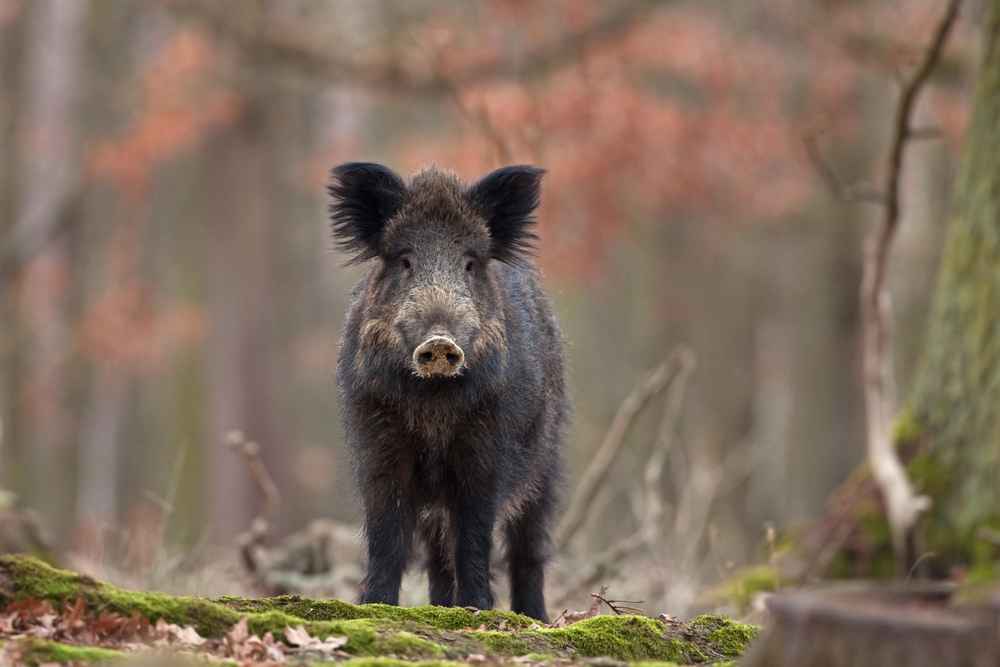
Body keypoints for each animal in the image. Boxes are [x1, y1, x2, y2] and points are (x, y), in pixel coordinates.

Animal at [330, 163, 567, 621]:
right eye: (405, 260)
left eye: (469, 264)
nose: (440, 340)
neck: (434, 408)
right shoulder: (379, 446)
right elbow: (387, 537)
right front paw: (375, 607)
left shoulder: (486, 453)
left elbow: (474, 537)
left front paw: (477, 612)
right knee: (437, 554)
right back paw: (441, 606)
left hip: (546, 461)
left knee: (527, 546)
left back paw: (533, 618)